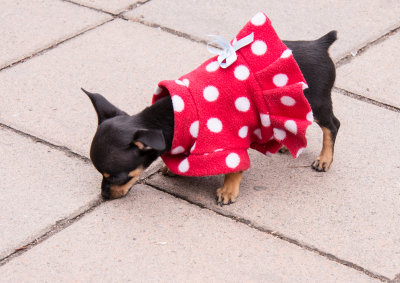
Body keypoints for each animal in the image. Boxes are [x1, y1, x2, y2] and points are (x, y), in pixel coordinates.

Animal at [83, 30, 340, 205]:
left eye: (116, 177)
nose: (103, 195)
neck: (173, 116)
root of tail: (319, 44)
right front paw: (173, 166)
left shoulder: (231, 138)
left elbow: (234, 168)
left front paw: (228, 190)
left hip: (317, 103)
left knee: (332, 126)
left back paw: (324, 159)